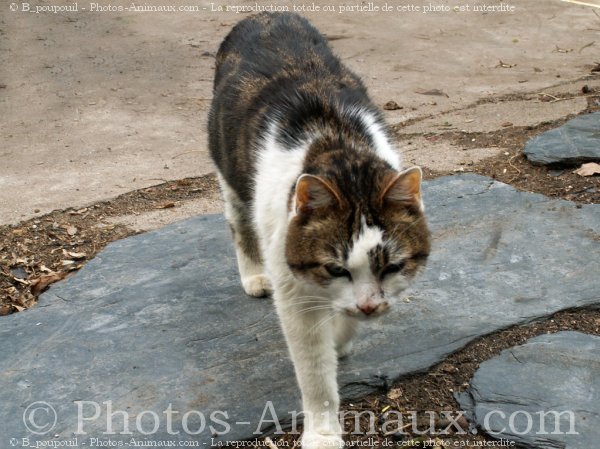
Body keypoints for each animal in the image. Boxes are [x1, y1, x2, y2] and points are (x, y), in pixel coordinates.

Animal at [209, 12, 428, 448]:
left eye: (393, 268)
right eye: (335, 268)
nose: (369, 306)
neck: (337, 143)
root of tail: (265, 14)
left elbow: (345, 322)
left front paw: (342, 336)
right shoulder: (294, 289)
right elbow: (313, 369)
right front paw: (323, 433)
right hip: (231, 176)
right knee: (238, 223)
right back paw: (253, 274)